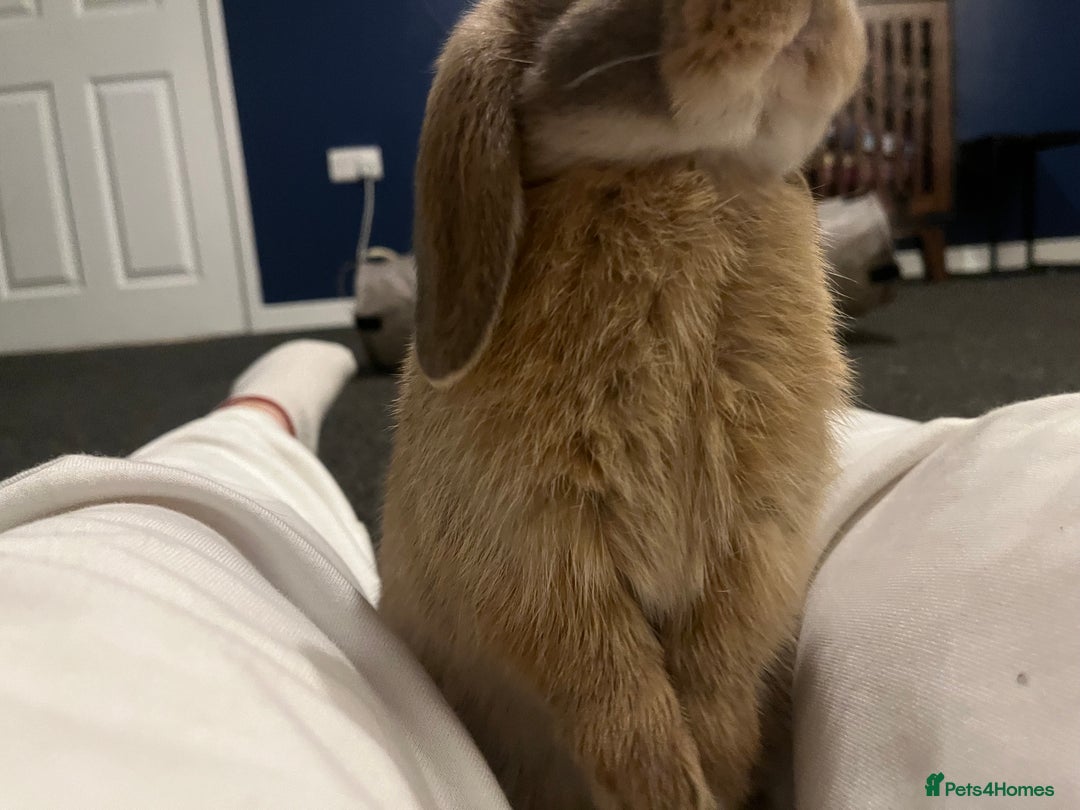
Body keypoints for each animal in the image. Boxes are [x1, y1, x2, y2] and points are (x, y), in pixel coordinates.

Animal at [377, 0, 867, 807]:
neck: (689, 167)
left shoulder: (757, 539)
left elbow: (718, 680)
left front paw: (716, 772)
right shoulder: (540, 556)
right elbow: (617, 702)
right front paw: (672, 791)